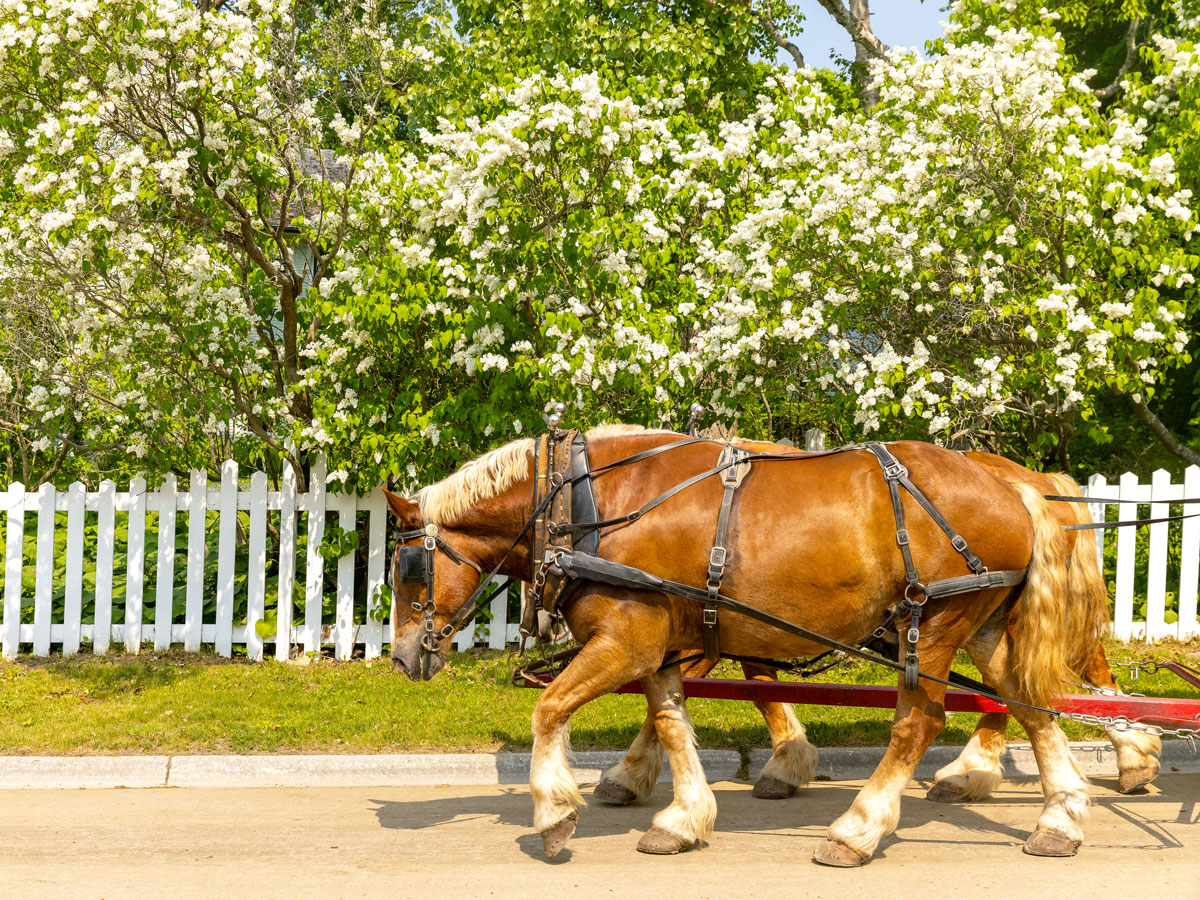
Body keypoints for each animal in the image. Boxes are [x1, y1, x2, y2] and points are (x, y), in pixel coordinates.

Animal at [384, 426, 1097, 865]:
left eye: (407, 569)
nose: (402, 656)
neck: (585, 504)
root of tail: (1011, 486)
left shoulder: (625, 641)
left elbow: (550, 708)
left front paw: (554, 814)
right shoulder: (661, 647)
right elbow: (672, 723)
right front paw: (682, 818)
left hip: (937, 623)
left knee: (921, 721)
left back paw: (858, 830)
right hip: (984, 627)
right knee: (1029, 703)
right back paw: (1058, 818)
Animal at [594, 445, 1159, 812]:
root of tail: (1032, 481)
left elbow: (704, 688)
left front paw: (629, 773)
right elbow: (746, 685)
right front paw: (786, 760)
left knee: (1065, 678)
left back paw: (1131, 752)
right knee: (1017, 692)